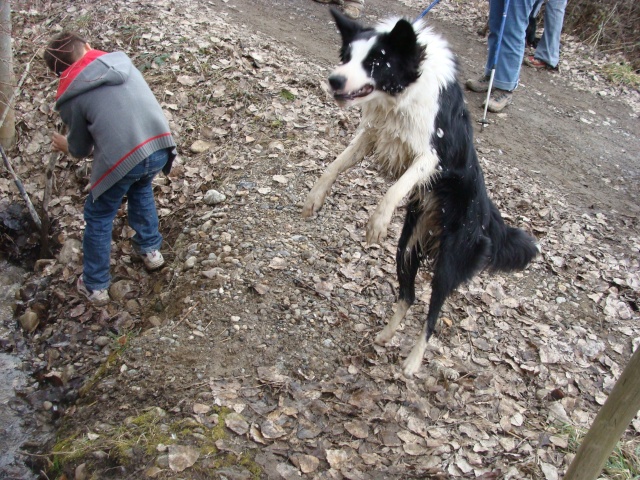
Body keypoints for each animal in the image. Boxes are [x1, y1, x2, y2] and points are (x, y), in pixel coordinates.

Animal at [304, 7, 540, 376]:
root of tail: (487, 218)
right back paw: (385, 335)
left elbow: (397, 188)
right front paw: (316, 196)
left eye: (376, 62)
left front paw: (378, 221)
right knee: (408, 296)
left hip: (447, 265)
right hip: (406, 249)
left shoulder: (431, 156)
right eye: (346, 57)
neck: (402, 94)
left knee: (432, 316)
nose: (335, 80)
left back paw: (413, 362)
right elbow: (335, 165)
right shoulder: (373, 134)